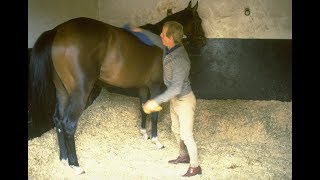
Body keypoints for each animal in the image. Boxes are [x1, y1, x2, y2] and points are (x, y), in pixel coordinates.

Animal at [28, 0, 206, 174]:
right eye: (199, 21)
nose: (203, 41)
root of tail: (57, 31)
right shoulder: (155, 86)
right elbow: (154, 114)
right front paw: (156, 141)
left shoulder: (142, 86)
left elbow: (143, 107)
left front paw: (144, 133)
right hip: (79, 93)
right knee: (69, 125)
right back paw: (76, 165)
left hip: (62, 92)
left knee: (58, 121)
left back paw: (64, 160)